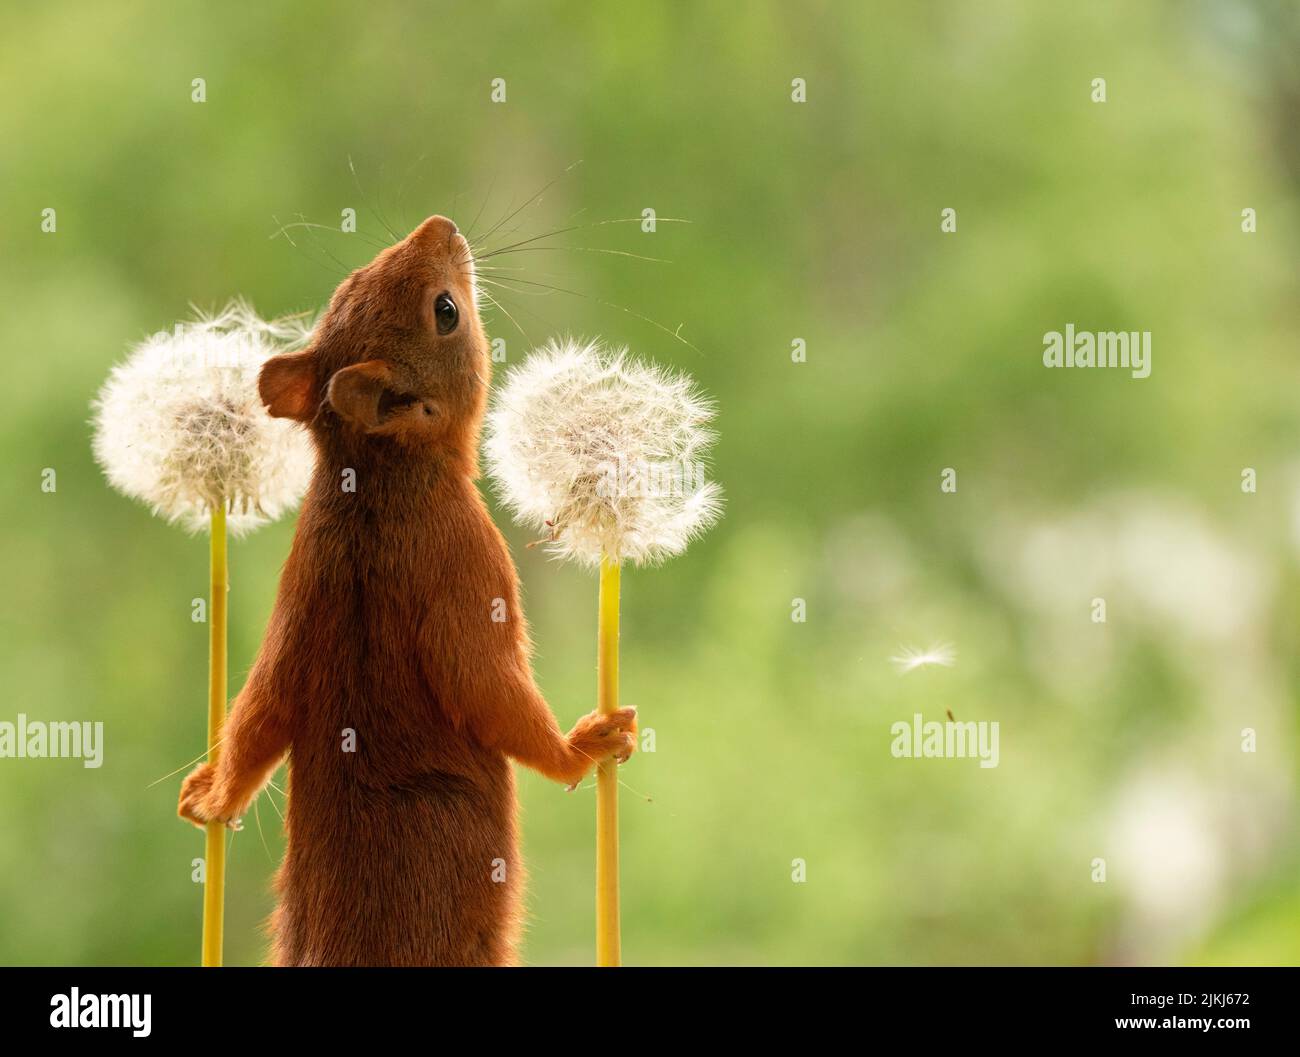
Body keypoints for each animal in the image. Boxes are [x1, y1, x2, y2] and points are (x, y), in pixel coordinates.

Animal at [176, 214, 634, 967]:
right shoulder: (469, 565)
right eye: (445, 312)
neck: (374, 475)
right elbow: (480, 679)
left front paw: (214, 796)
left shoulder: (299, 593)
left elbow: (262, 707)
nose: (439, 226)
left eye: (347, 283)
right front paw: (582, 748)